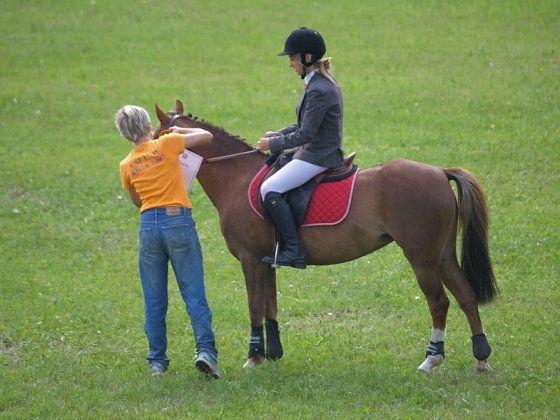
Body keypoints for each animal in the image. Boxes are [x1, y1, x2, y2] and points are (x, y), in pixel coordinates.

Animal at [154, 101, 498, 374]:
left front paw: (253, 358)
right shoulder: (267, 260)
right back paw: (481, 358)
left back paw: (431, 361)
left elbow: (254, 306)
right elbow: (270, 306)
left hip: (422, 258)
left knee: (439, 302)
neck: (236, 178)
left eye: (154, 140)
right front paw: (272, 354)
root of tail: (440, 171)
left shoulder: (250, 260)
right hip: (443, 255)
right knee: (466, 297)